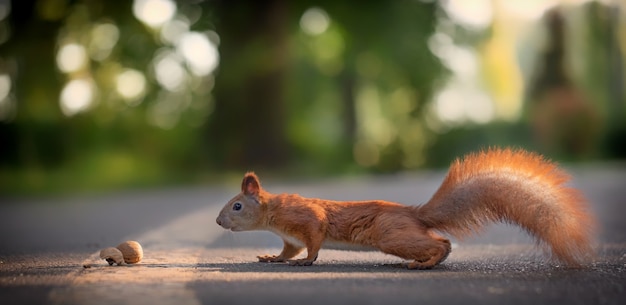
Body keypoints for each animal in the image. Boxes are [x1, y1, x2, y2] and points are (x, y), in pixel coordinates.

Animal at [216, 147, 596, 268]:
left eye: (236, 206)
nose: (218, 221)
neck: (273, 214)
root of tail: (414, 214)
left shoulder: (306, 220)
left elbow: (313, 240)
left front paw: (308, 262)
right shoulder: (290, 237)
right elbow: (288, 251)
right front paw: (273, 258)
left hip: (391, 235)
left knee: (440, 242)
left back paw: (426, 263)